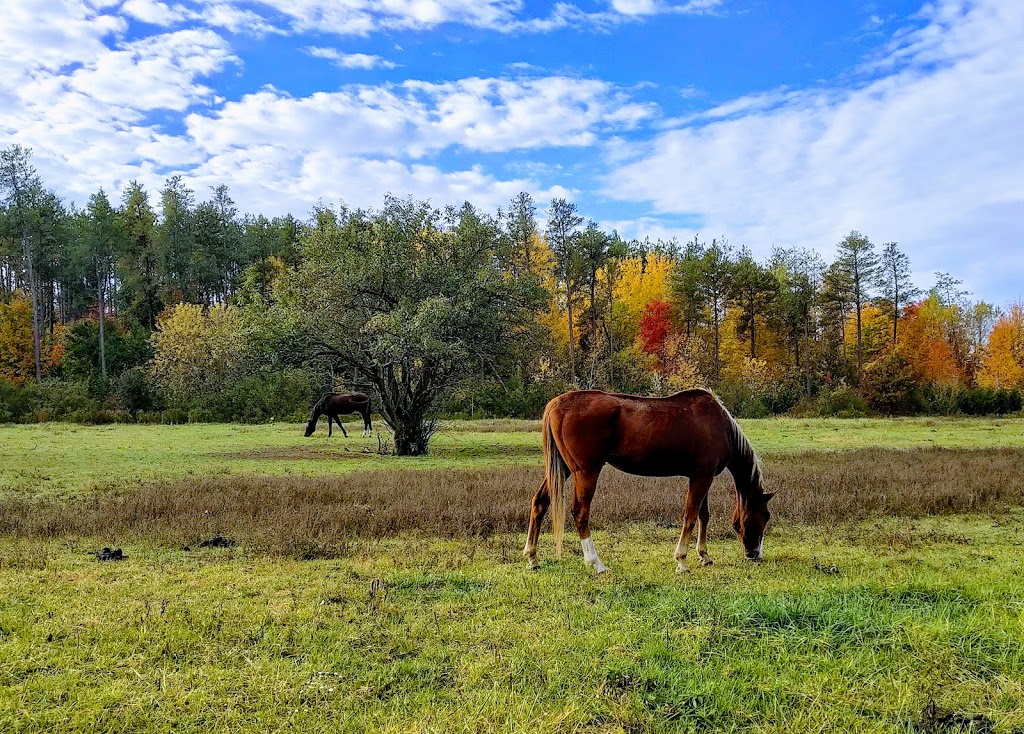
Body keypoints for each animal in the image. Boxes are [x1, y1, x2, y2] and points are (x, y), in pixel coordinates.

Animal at [524, 389, 770, 573]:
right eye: (765, 516)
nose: (755, 554)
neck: (721, 425)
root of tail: (557, 404)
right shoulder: (702, 477)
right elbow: (690, 516)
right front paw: (681, 560)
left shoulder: (702, 476)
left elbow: (703, 515)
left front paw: (704, 555)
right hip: (585, 472)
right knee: (580, 512)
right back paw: (596, 563)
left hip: (561, 469)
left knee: (540, 502)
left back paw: (532, 557)